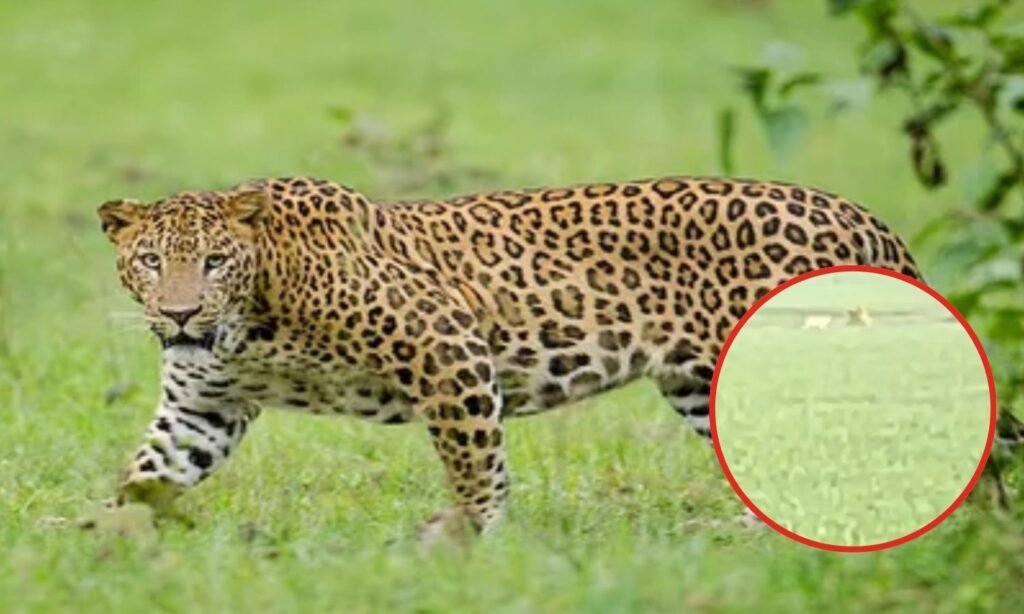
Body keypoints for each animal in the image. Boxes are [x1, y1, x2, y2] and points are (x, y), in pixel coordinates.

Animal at [98, 174, 933, 535]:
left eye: (213, 262)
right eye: (150, 262)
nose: (179, 313)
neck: (254, 317)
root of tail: (865, 217)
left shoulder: (447, 346)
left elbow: (476, 466)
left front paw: (467, 543)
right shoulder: (203, 407)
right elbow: (145, 476)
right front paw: (96, 547)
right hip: (708, 386)